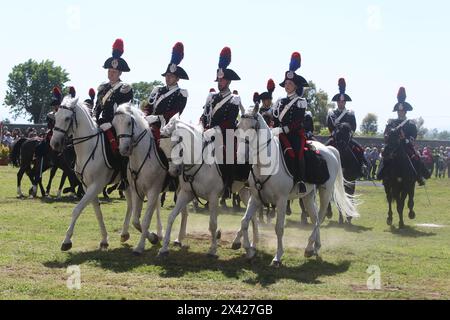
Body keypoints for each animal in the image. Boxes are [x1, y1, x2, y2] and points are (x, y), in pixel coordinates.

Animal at [50, 96, 134, 251]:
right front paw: (104, 240)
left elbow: (77, 209)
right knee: (131, 205)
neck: (88, 147)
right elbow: (98, 213)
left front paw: (66, 241)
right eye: (56, 117)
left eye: (67, 118)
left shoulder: (97, 185)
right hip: (126, 183)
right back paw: (125, 233)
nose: (54, 143)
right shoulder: (87, 186)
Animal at [113, 105, 189, 255]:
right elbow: (136, 220)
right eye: (114, 125)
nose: (123, 149)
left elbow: (146, 219)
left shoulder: (153, 190)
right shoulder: (137, 191)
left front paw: (140, 246)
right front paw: (153, 237)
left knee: (184, 212)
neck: (142, 157)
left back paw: (179, 238)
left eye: (129, 123)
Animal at [160, 116, 255, 258]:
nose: (173, 171)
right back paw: (247, 243)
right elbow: (171, 217)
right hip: (244, 191)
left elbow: (213, 224)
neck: (200, 162)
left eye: (174, 144)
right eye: (162, 147)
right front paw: (164, 247)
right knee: (252, 216)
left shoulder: (213, 197)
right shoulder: (186, 193)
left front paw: (213, 249)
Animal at [232, 105, 358, 268]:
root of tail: (330, 150)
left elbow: (279, 228)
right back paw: (314, 247)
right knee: (314, 217)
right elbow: (245, 221)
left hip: (325, 192)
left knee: (320, 217)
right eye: (238, 127)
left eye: (254, 127)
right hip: (308, 196)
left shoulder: (281, 200)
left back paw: (310, 246)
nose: (241, 157)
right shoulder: (255, 197)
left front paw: (277, 257)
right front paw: (245, 247)